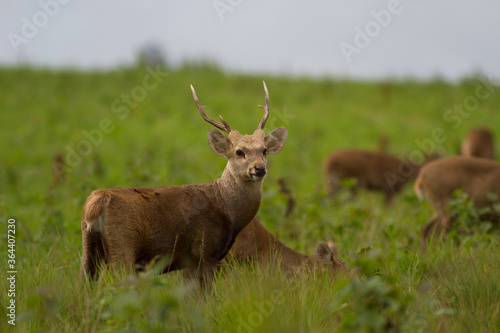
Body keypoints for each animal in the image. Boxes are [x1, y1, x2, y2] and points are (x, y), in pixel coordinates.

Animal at [80, 81, 288, 286]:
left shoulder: (189, 262)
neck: (227, 208)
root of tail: (98, 201)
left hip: (88, 249)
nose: (259, 169)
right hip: (122, 245)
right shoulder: (205, 251)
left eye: (264, 150)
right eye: (239, 151)